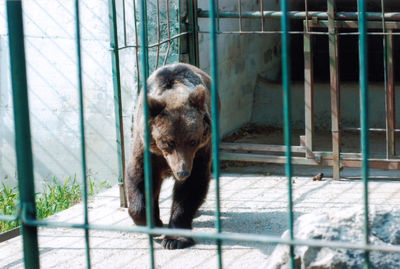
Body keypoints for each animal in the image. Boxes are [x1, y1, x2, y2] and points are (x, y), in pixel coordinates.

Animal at [127, 62, 212, 249]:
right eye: (168, 142)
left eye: (193, 141)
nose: (182, 172)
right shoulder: (146, 149)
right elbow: (139, 177)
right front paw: (149, 222)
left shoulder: (199, 153)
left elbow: (191, 186)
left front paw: (175, 239)